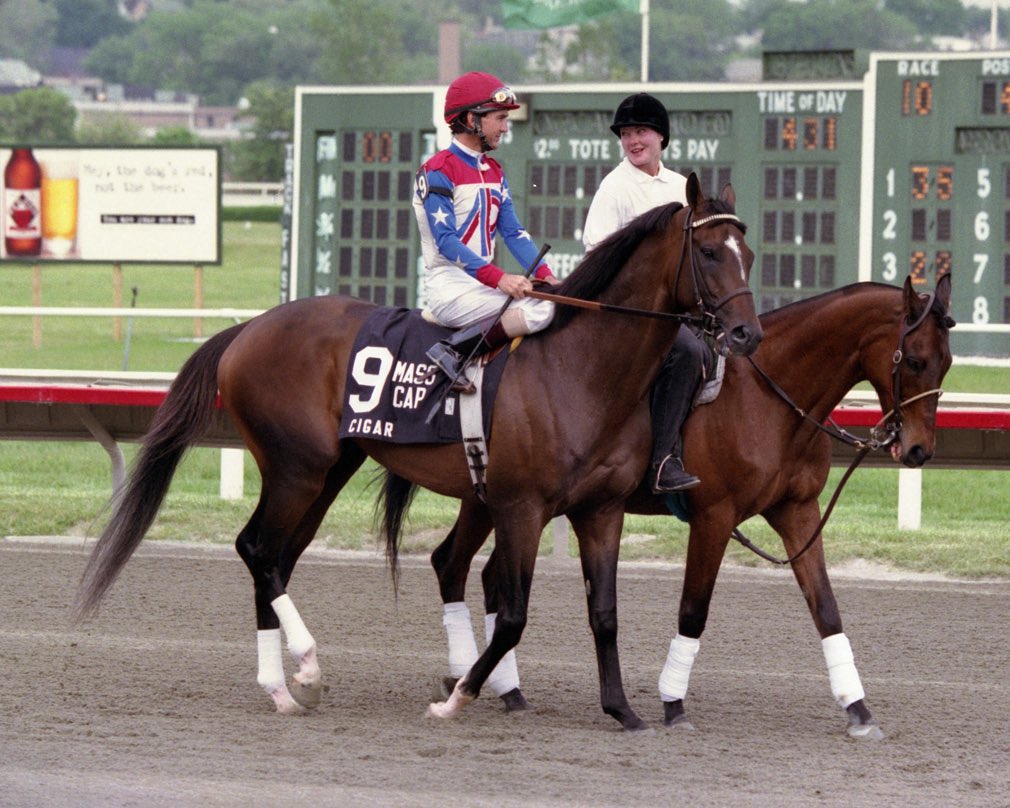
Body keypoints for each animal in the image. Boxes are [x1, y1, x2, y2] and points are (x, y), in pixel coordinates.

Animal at [74, 173, 763, 732]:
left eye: (748, 253)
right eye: (708, 252)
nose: (745, 333)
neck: (580, 368)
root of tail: (250, 328)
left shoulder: (601, 510)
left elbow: (605, 612)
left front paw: (623, 710)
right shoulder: (521, 507)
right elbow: (513, 614)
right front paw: (454, 698)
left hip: (326, 472)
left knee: (275, 557)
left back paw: (284, 689)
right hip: (297, 468)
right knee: (257, 549)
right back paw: (307, 668)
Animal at [410, 273, 953, 739]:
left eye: (947, 362)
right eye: (915, 360)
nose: (919, 450)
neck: (767, 398)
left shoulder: (797, 511)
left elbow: (826, 610)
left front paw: (858, 708)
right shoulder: (714, 517)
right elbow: (694, 611)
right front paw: (673, 704)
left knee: (479, 575)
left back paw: (507, 690)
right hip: (499, 501)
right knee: (453, 565)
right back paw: (466, 681)